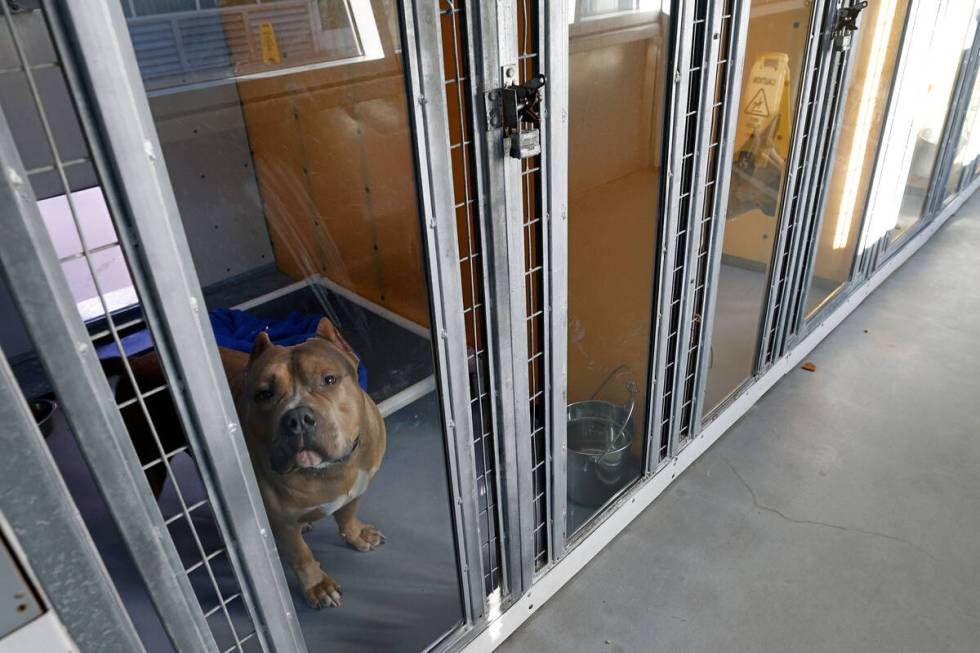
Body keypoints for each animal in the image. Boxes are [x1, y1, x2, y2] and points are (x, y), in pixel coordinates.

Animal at [222, 318, 386, 608]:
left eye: (329, 380)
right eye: (264, 394)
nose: (297, 418)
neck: (329, 471)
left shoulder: (357, 489)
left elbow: (347, 514)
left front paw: (356, 534)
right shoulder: (282, 523)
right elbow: (301, 555)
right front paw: (318, 586)